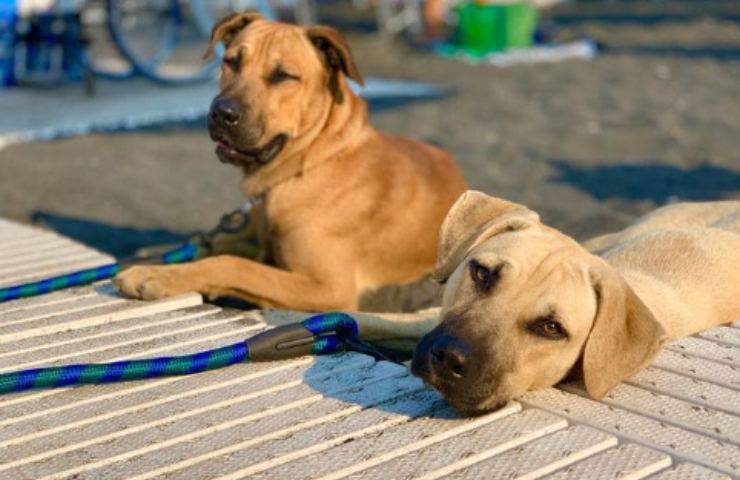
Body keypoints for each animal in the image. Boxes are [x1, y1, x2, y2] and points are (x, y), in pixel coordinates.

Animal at [113, 14, 466, 312]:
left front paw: (158, 276)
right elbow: (216, 246)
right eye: (232, 61)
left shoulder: (328, 289)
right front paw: (156, 263)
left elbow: (233, 264)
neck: (309, 164)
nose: (221, 113)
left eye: (283, 76)